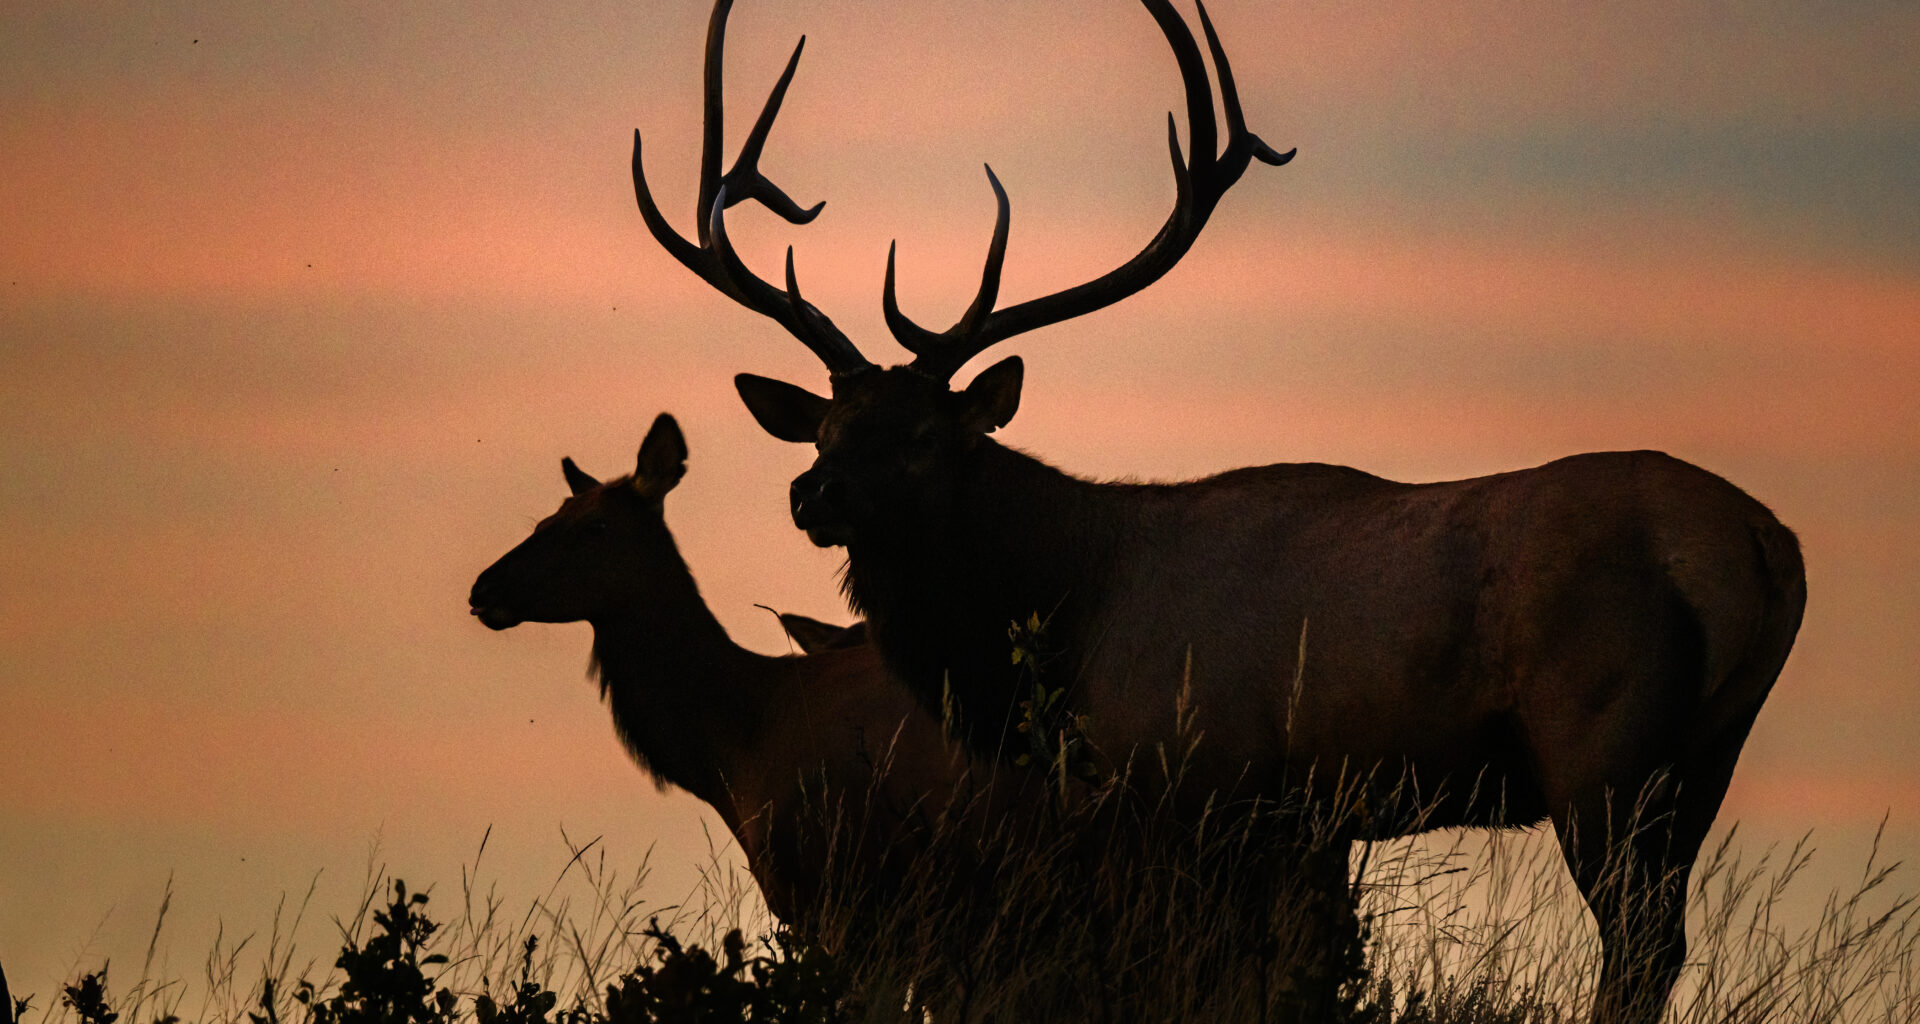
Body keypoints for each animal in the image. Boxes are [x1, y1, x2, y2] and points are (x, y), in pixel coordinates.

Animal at [626, 2, 1808, 1020]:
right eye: (824, 429)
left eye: (924, 435)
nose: (810, 493)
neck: (1071, 615)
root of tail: (1767, 544)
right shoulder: (1287, 818)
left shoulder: (1205, 785)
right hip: (1707, 753)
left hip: (1603, 744)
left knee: (1640, 947)